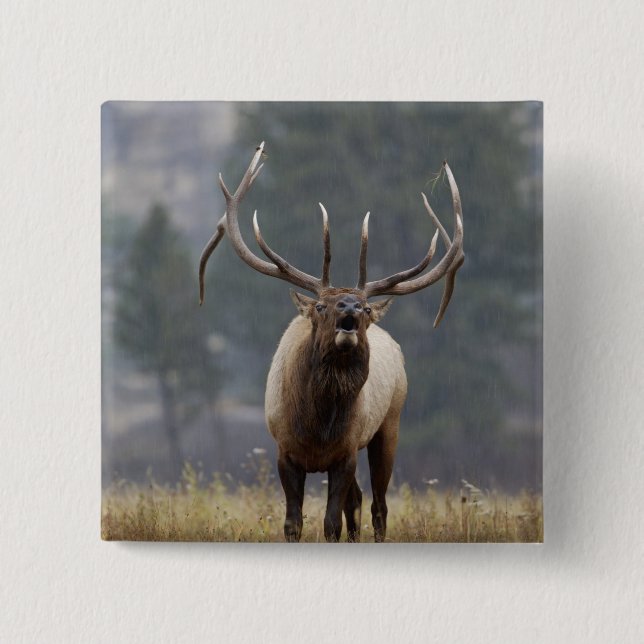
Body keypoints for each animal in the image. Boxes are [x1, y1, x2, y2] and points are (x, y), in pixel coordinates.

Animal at [199, 142, 464, 542]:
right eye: (321, 306)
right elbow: (293, 522)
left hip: (390, 424)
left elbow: (331, 523)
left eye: (367, 308)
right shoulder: (284, 451)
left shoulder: (346, 453)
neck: (318, 428)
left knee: (377, 505)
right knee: (358, 502)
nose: (350, 306)